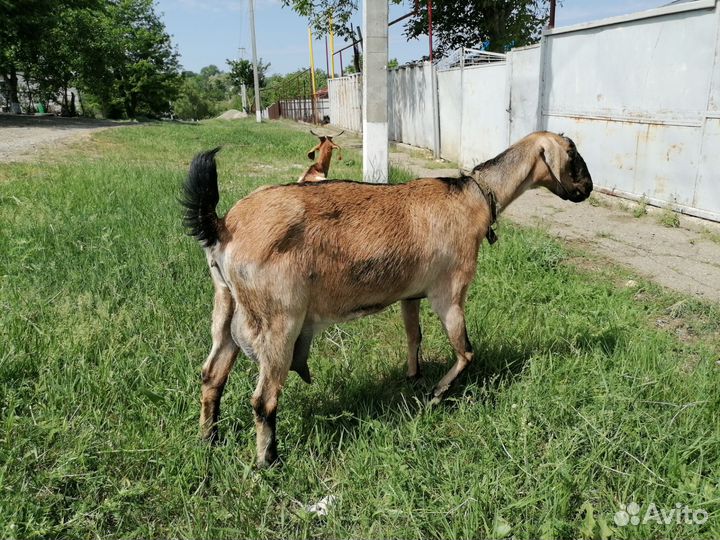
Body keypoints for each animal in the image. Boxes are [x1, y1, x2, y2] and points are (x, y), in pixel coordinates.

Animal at [181, 131, 593, 467]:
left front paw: (413, 377)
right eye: (573, 153)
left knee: (212, 373)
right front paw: (436, 395)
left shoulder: (411, 294)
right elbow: (465, 351)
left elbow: (414, 336)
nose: (587, 189)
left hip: (226, 306)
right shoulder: (450, 292)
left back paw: (209, 439)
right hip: (278, 320)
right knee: (263, 399)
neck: (471, 197)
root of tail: (222, 226)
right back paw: (269, 461)